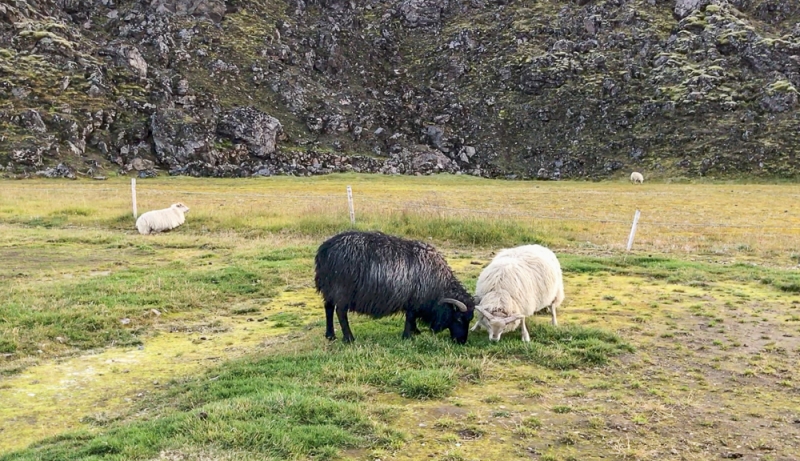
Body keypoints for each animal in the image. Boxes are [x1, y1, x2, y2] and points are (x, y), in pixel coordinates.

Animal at [312, 230, 476, 342]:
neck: (439, 285)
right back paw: (349, 338)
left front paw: (416, 331)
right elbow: (410, 317)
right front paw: (408, 336)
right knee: (340, 312)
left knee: (328, 308)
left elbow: (412, 318)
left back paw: (330, 335)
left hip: (329, 289)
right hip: (342, 290)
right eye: (459, 319)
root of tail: (324, 250)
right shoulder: (414, 300)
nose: (462, 341)